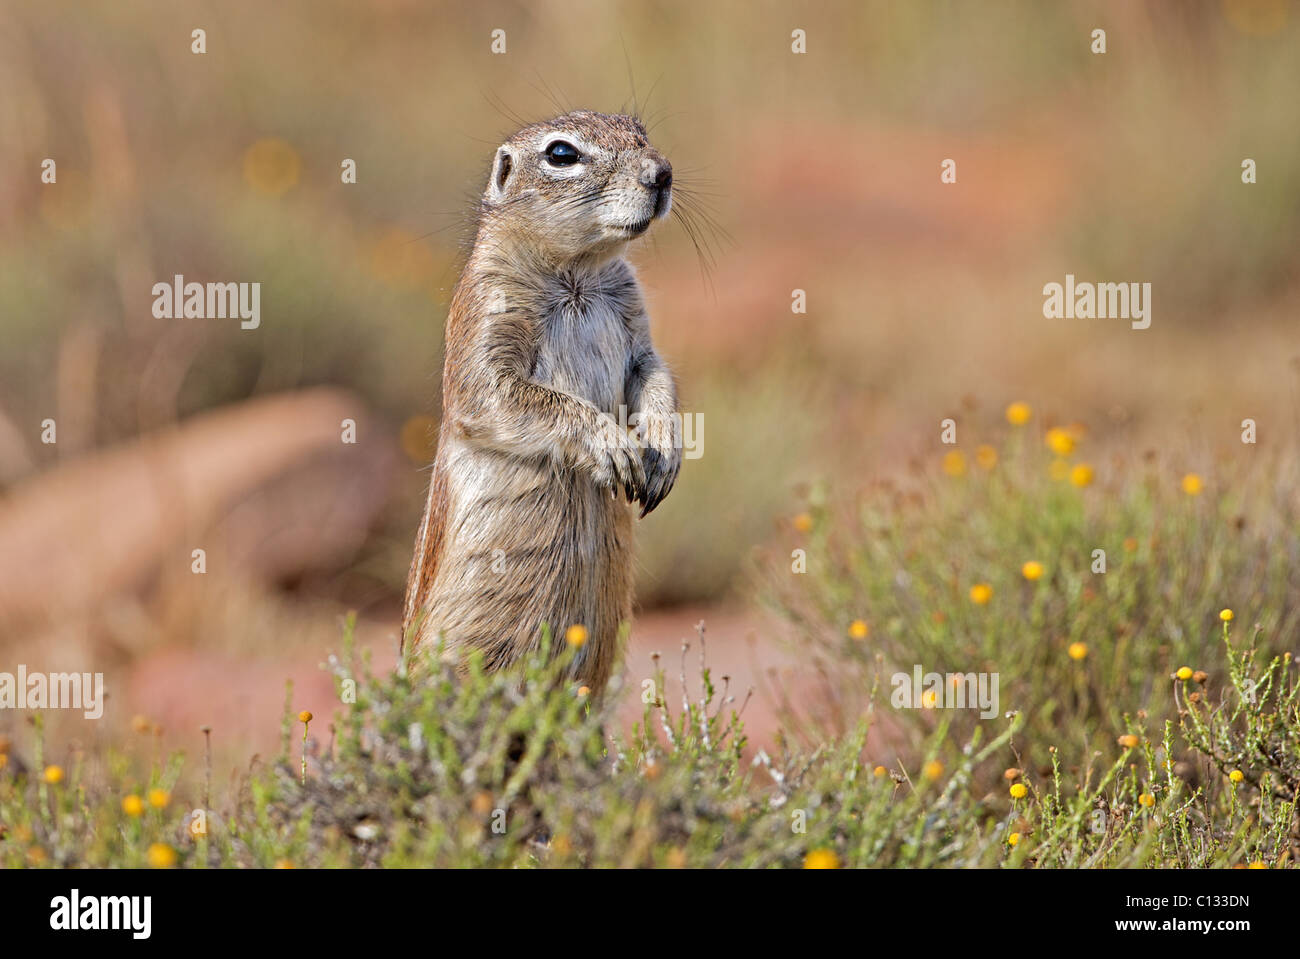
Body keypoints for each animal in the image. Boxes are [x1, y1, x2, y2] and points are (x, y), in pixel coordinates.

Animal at [401, 111, 682, 695]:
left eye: (640, 131)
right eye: (561, 154)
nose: (662, 172)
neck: (578, 271)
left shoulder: (637, 324)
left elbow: (653, 373)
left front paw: (664, 448)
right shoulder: (486, 317)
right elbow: (504, 395)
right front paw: (612, 445)